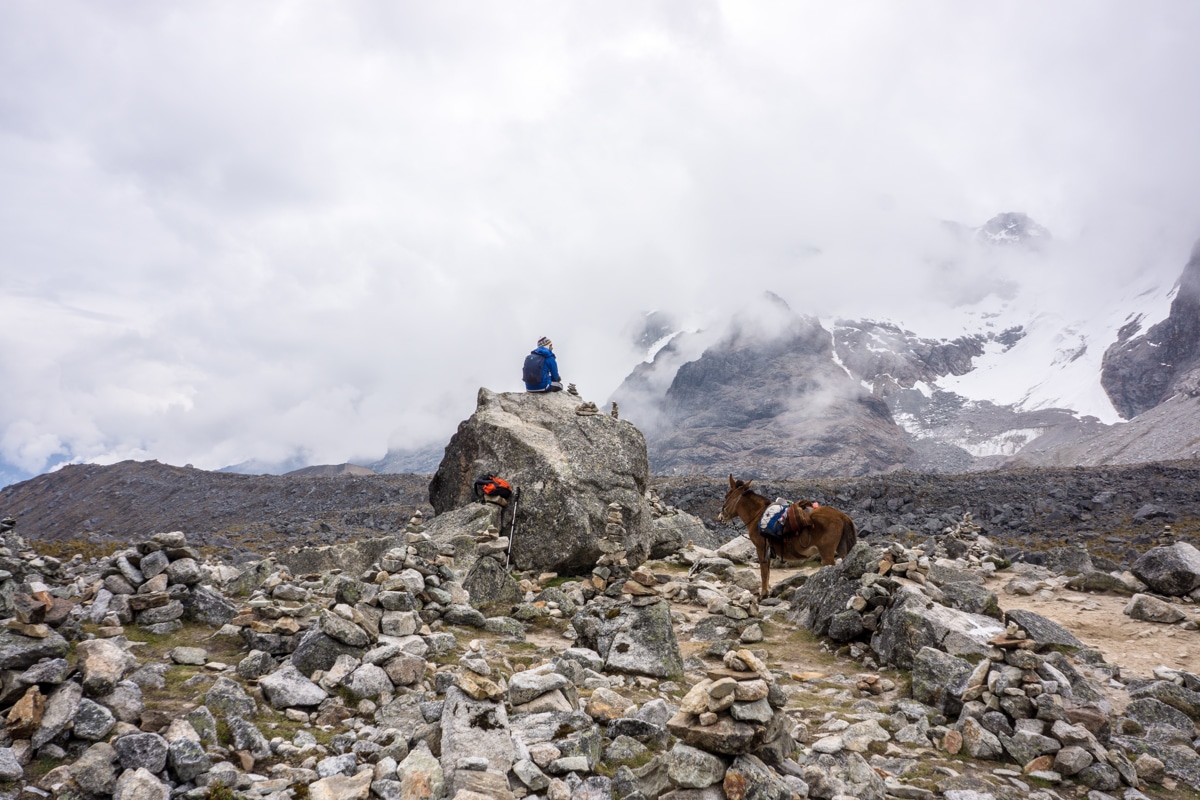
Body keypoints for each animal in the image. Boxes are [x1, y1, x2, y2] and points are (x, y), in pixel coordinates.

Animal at [715, 472, 859, 597]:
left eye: (726, 496)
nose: (721, 517)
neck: (757, 516)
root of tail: (843, 516)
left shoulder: (761, 548)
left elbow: (763, 571)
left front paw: (763, 595)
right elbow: (767, 571)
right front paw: (767, 592)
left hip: (827, 554)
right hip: (842, 549)